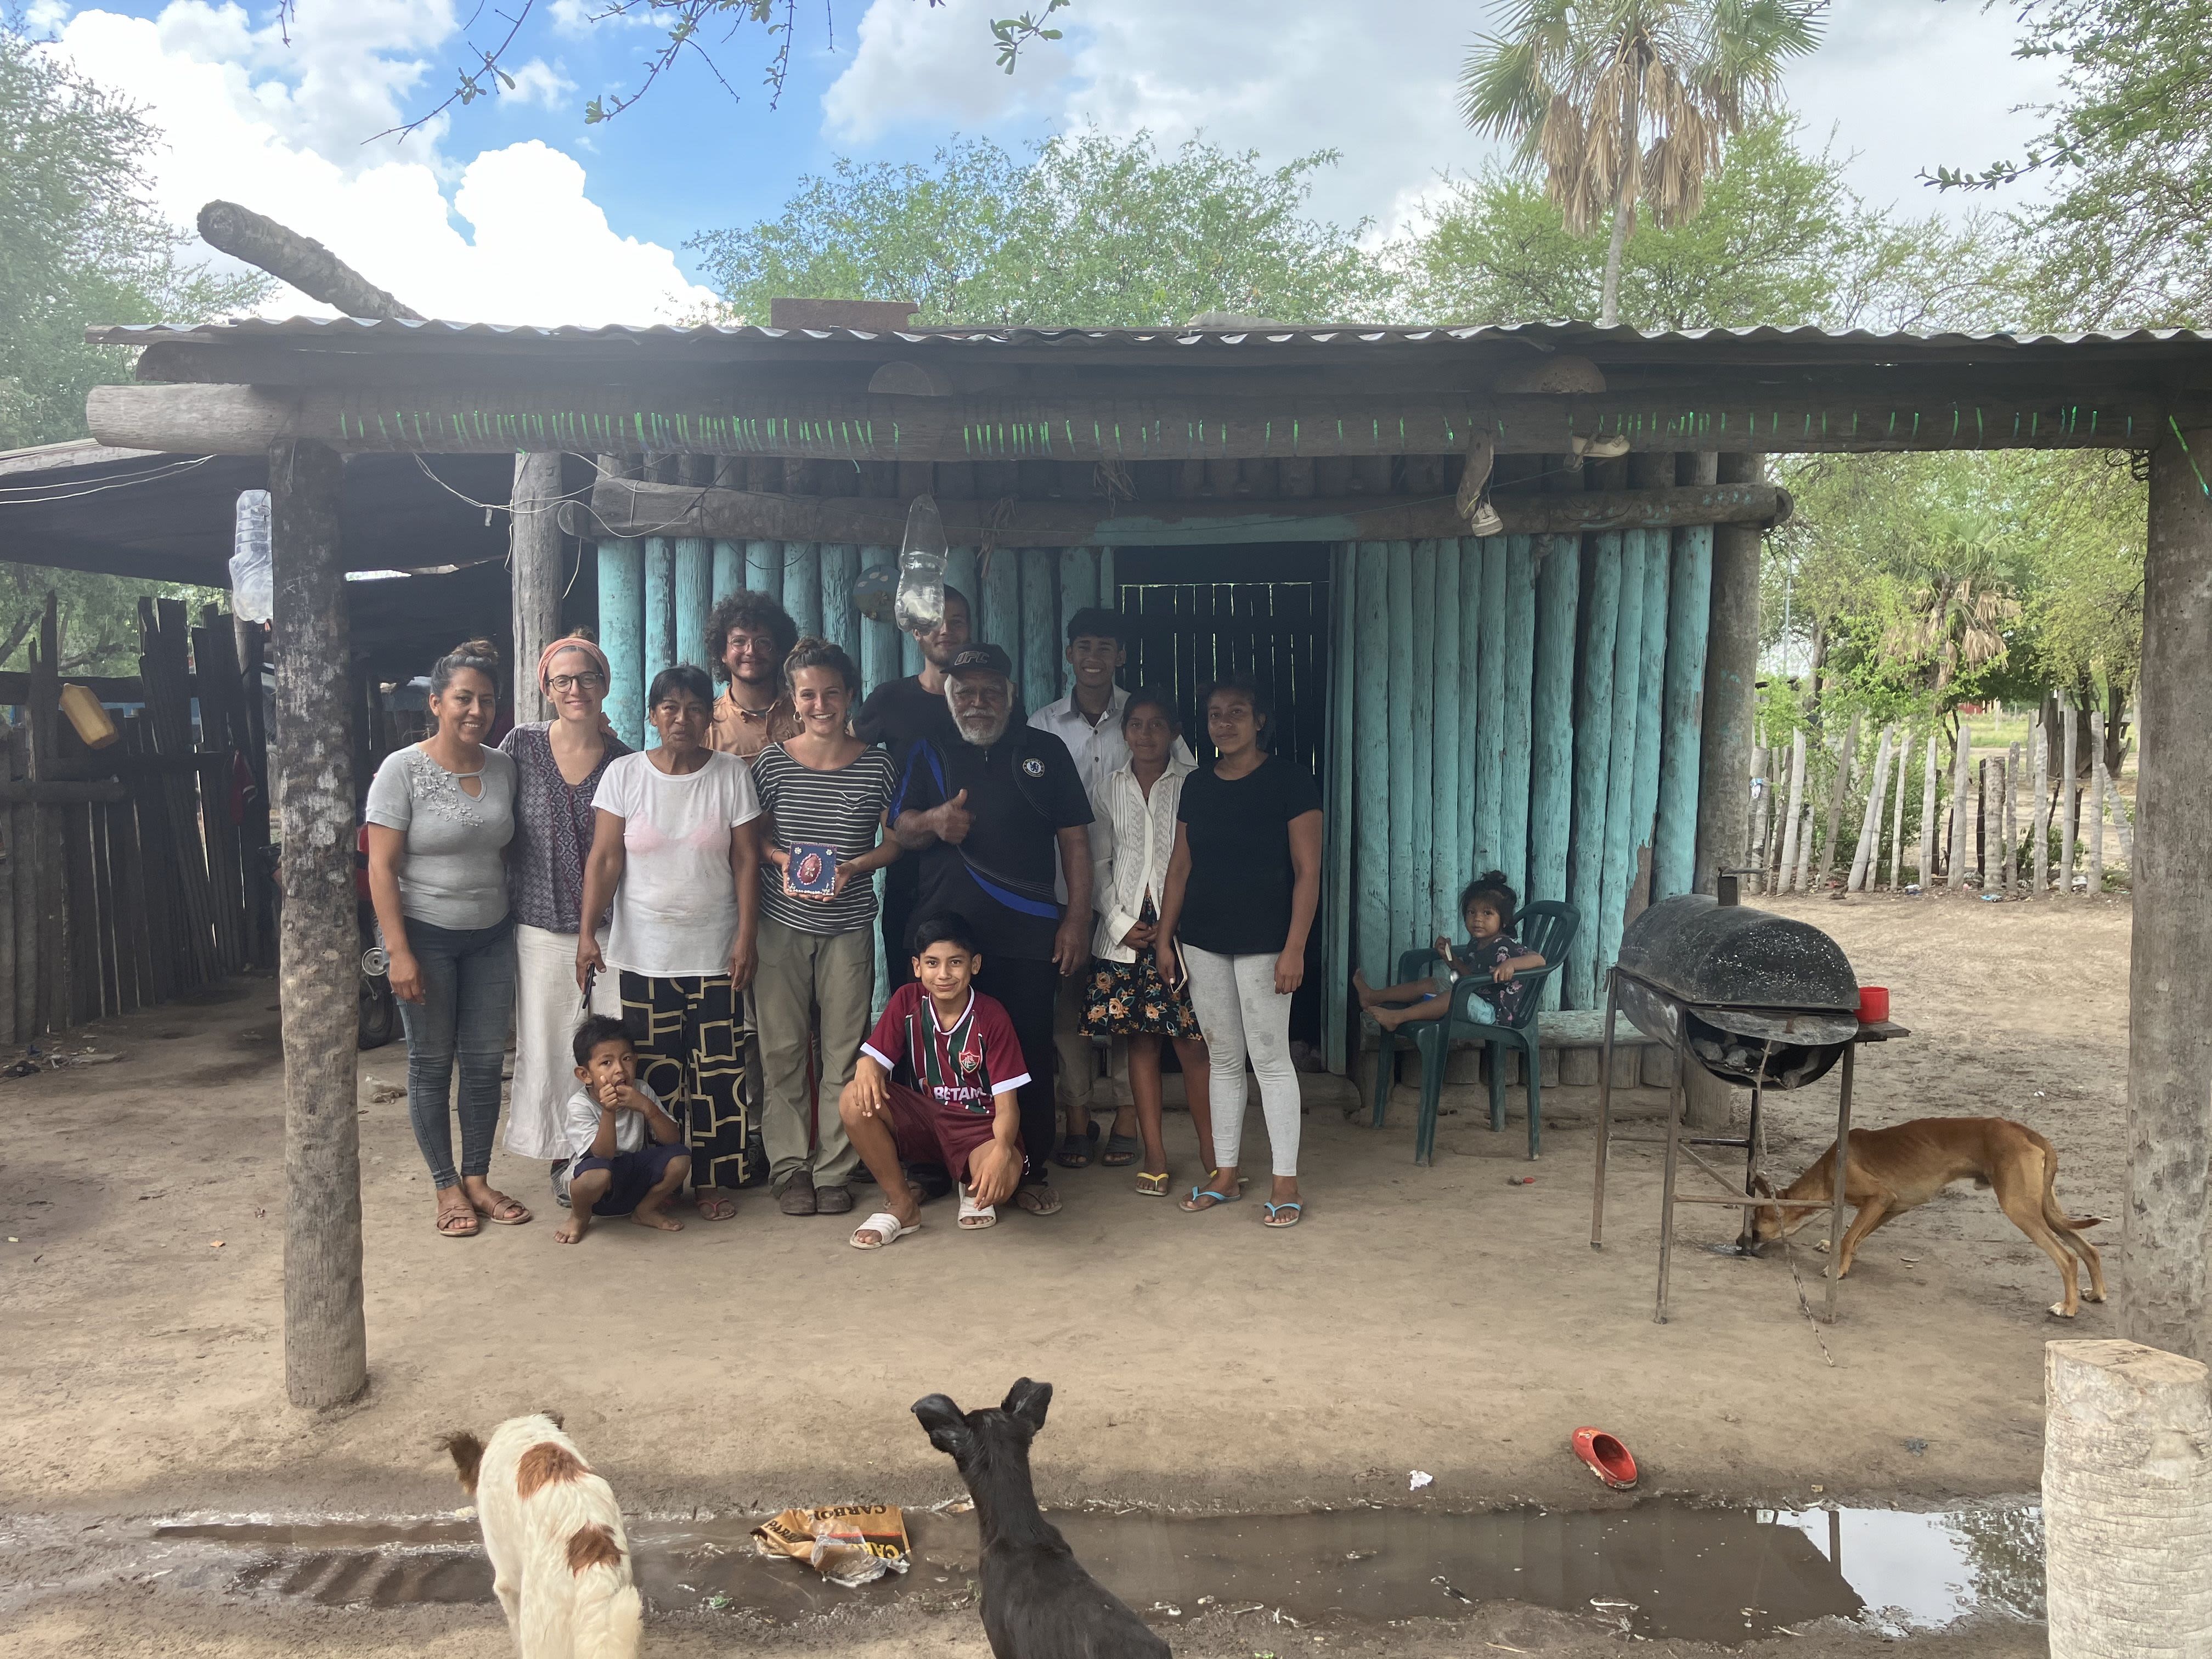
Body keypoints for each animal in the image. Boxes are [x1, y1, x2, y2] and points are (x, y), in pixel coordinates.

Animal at [1751, 1116, 2106, 1318]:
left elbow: (1851, 1235)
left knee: (2067, 1257)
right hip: (2044, 1209)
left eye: (1755, 1226)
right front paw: (1834, 1248)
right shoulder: (1893, 1206)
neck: (1827, 1172)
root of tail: (2028, 1132)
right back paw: (2096, 1293)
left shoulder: (1880, 1198)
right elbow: (1856, 1235)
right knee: (2089, 1249)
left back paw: (2068, 1308)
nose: (1745, 1242)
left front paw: (1837, 1268)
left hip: (2020, 1209)